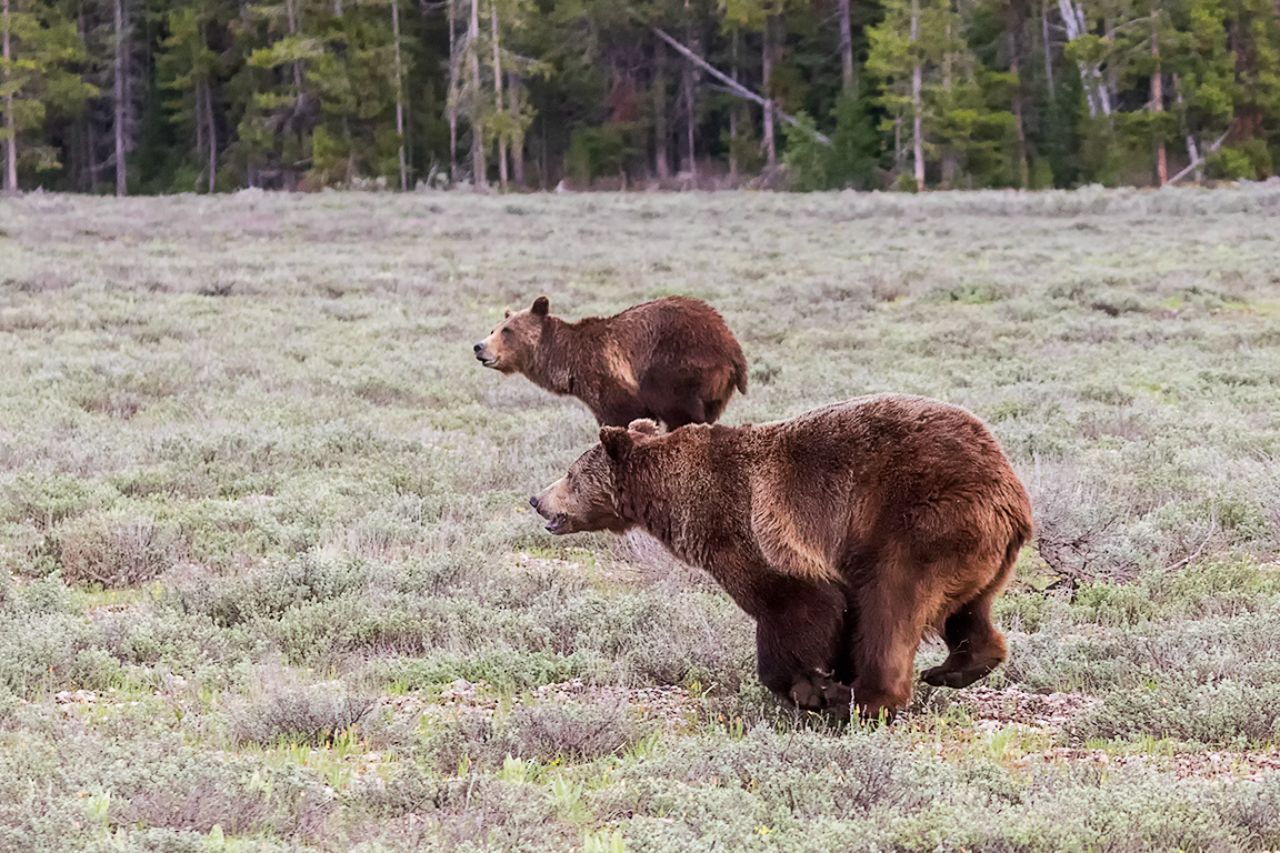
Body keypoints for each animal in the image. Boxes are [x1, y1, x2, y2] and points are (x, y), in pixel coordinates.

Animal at [473, 296, 748, 429]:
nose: (479, 347)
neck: (569, 363)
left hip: (676, 368)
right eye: (493, 329)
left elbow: (623, 417)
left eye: (507, 331)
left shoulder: (610, 380)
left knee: (682, 414)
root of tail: (732, 345)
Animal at [529, 394, 1033, 721]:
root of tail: (1011, 490)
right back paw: (954, 668)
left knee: (890, 606)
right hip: (974, 552)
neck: (675, 496)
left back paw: (864, 699)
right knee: (967, 611)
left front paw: (812, 689)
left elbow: (798, 607)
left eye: (570, 474)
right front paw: (821, 683)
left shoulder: (751, 529)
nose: (536, 499)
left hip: (917, 522)